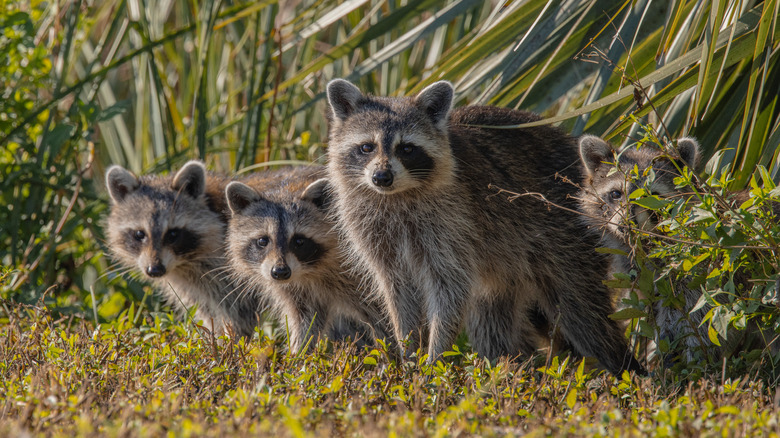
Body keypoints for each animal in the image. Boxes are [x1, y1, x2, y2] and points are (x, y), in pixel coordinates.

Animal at [105, 161, 262, 337]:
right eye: (139, 234)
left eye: (173, 233)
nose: (155, 270)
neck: (184, 263)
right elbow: (209, 312)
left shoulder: (234, 275)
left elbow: (240, 316)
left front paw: (230, 341)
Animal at [225, 166, 390, 353]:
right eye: (262, 241)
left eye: (299, 241)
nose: (280, 272)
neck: (310, 271)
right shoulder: (300, 291)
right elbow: (306, 321)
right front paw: (298, 353)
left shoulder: (362, 271)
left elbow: (385, 316)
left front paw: (392, 355)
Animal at [324, 79, 644, 374]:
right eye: (366, 147)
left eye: (407, 149)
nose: (381, 177)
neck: (396, 196)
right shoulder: (373, 230)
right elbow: (399, 292)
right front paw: (409, 354)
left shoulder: (452, 222)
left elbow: (449, 288)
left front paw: (434, 359)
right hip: (505, 276)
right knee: (491, 327)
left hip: (570, 242)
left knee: (586, 317)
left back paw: (626, 370)